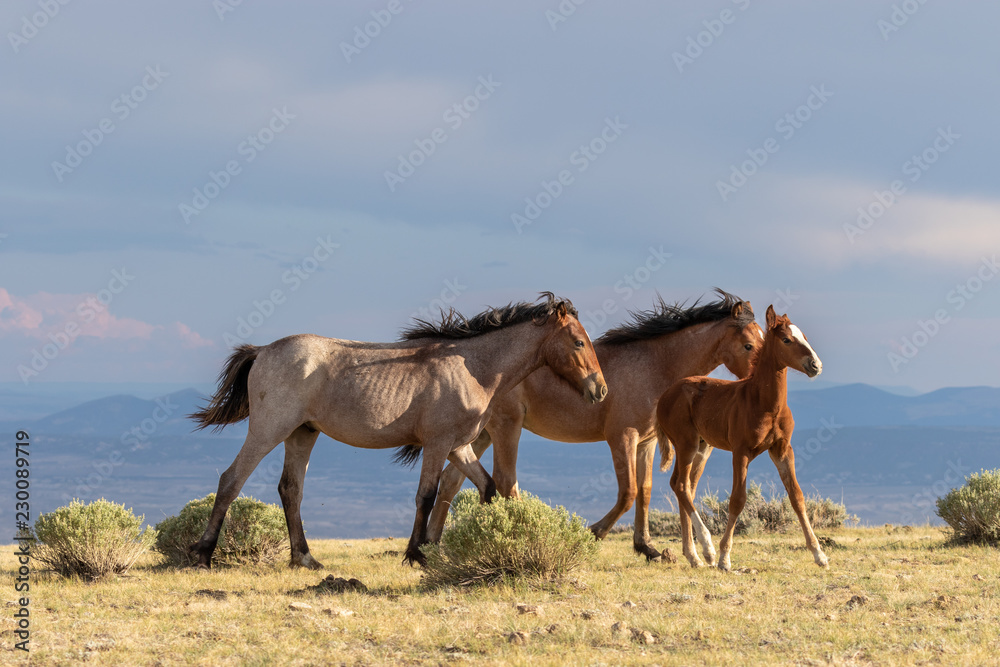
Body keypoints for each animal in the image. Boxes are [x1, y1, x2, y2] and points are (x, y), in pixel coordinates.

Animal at [188, 293, 607, 568]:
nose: (600, 390)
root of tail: (263, 351)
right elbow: (427, 495)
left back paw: (305, 559)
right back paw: (203, 554)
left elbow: (487, 488)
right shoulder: (438, 444)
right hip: (269, 430)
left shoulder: (458, 446)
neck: (473, 367)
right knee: (232, 479)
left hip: (302, 434)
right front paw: (416, 554)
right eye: (578, 341)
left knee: (290, 490)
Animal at [426, 290, 763, 561]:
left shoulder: (646, 442)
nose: (759, 381)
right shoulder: (622, 438)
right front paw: (593, 533)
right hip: (506, 428)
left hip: (480, 434)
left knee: (452, 479)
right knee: (502, 482)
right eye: (749, 345)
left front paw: (647, 548)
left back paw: (432, 545)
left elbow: (644, 491)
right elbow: (627, 493)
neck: (655, 366)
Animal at [655, 304, 828, 571]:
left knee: (684, 487)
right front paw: (724, 558)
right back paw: (708, 550)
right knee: (681, 485)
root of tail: (664, 396)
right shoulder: (741, 452)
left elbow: (797, 497)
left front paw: (819, 554)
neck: (765, 403)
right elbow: (737, 499)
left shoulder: (782, 449)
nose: (815, 365)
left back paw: (694, 556)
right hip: (686, 444)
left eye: (805, 337)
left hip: (702, 447)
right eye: (787, 340)